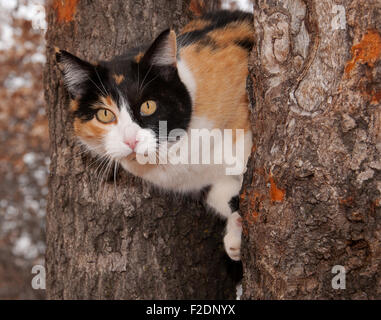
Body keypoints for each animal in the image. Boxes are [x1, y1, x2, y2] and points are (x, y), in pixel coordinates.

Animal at [55, 10, 252, 260]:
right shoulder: (207, 183)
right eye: (104, 114)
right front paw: (235, 234)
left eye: (148, 106)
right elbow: (224, 195)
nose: (131, 140)